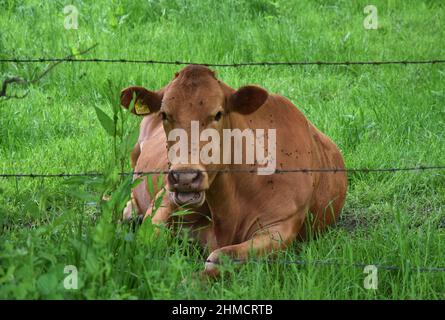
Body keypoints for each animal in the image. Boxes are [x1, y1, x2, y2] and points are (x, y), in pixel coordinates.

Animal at [120, 64, 346, 276]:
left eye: (218, 114)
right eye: (164, 114)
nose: (185, 177)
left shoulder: (281, 226)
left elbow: (220, 258)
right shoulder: (166, 199)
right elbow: (147, 240)